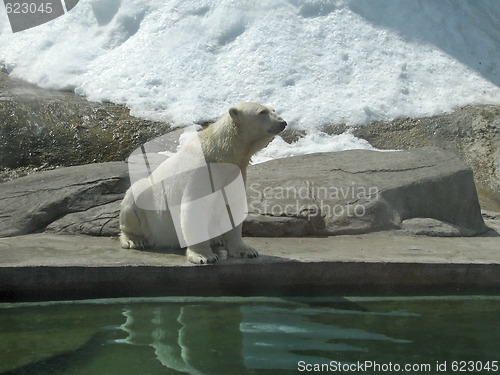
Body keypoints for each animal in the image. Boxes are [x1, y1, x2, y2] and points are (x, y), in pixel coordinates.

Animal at [118, 103, 288, 264]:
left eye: (273, 109)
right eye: (262, 112)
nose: (283, 122)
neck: (221, 154)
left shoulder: (235, 172)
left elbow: (232, 206)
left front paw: (246, 251)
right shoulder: (201, 172)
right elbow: (195, 207)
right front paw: (203, 256)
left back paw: (217, 239)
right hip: (147, 209)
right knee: (134, 200)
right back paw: (134, 240)